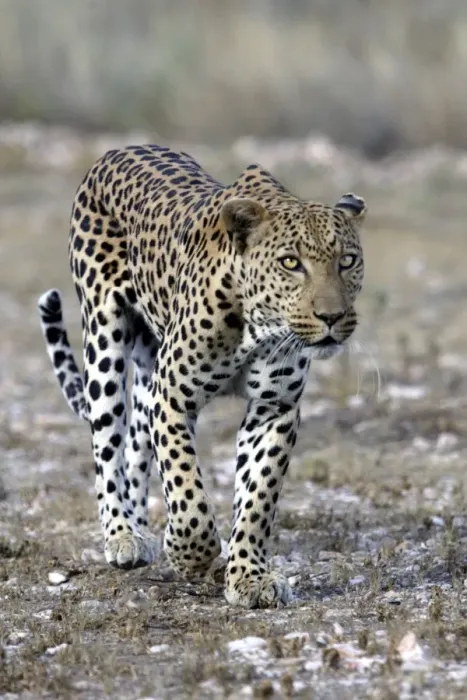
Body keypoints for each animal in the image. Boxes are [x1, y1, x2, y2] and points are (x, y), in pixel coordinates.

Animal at [37, 143, 366, 608]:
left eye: (347, 261)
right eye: (291, 263)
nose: (332, 317)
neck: (258, 326)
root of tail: (120, 149)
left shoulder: (274, 409)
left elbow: (258, 497)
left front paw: (248, 576)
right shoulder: (172, 398)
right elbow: (185, 486)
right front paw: (192, 554)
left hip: (147, 365)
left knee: (136, 445)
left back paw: (141, 528)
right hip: (104, 339)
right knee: (107, 447)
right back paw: (123, 535)